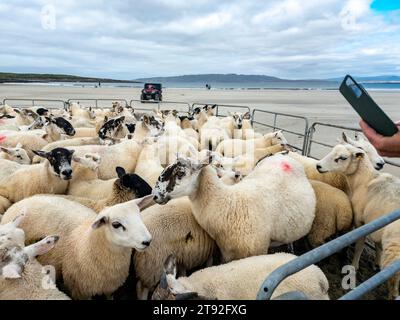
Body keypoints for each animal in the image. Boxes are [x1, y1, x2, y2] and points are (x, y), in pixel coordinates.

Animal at [1, 192, 155, 300]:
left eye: (139, 215)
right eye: (116, 224)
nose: (147, 241)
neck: (87, 242)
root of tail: (21, 201)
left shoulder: (110, 288)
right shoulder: (80, 290)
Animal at [153, 152, 316, 262]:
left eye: (180, 173)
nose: (154, 195)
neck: (228, 204)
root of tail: (281, 156)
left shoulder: (255, 251)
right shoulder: (226, 252)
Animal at [316, 144, 400, 298]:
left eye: (343, 157)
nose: (318, 166)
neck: (364, 181)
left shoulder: (361, 223)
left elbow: (359, 246)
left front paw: (354, 267)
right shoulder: (377, 224)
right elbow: (378, 246)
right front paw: (377, 264)